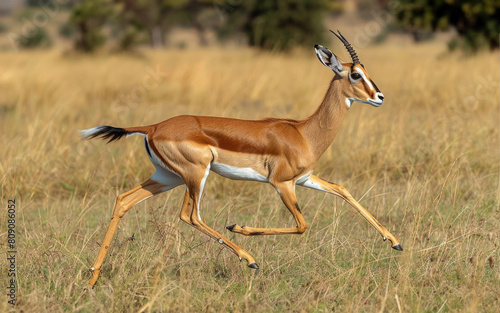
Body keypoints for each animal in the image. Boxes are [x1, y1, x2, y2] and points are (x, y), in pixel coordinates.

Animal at [82, 30, 402, 286]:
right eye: (355, 74)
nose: (380, 97)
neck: (304, 132)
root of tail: (153, 127)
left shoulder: (305, 178)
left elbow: (342, 190)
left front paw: (395, 242)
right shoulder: (282, 184)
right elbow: (302, 225)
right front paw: (240, 227)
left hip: (167, 178)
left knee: (124, 200)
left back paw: (93, 277)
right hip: (195, 176)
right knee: (190, 215)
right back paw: (249, 258)